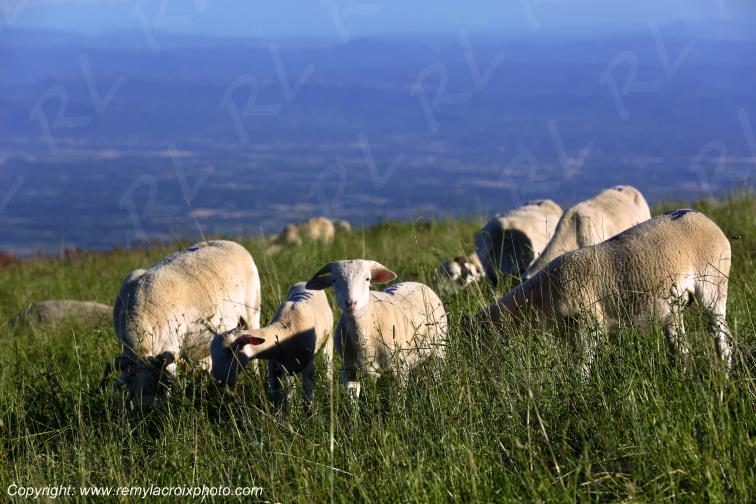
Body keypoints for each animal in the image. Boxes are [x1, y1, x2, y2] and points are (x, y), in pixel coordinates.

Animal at [107, 240, 261, 406]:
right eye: (132, 386)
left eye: (158, 385)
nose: (146, 409)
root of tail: (231, 243)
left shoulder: (170, 346)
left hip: (252, 313)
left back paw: (256, 377)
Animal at [306, 260, 447, 398]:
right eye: (334, 280)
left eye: (367, 279)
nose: (351, 303)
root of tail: (417, 283)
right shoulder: (349, 369)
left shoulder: (400, 366)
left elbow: (399, 397)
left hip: (439, 346)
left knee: (438, 369)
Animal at [474, 209, 732, 376]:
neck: (540, 295)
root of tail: (702, 217)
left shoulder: (589, 323)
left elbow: (582, 365)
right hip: (673, 307)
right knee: (681, 347)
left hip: (714, 283)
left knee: (721, 337)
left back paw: (724, 377)